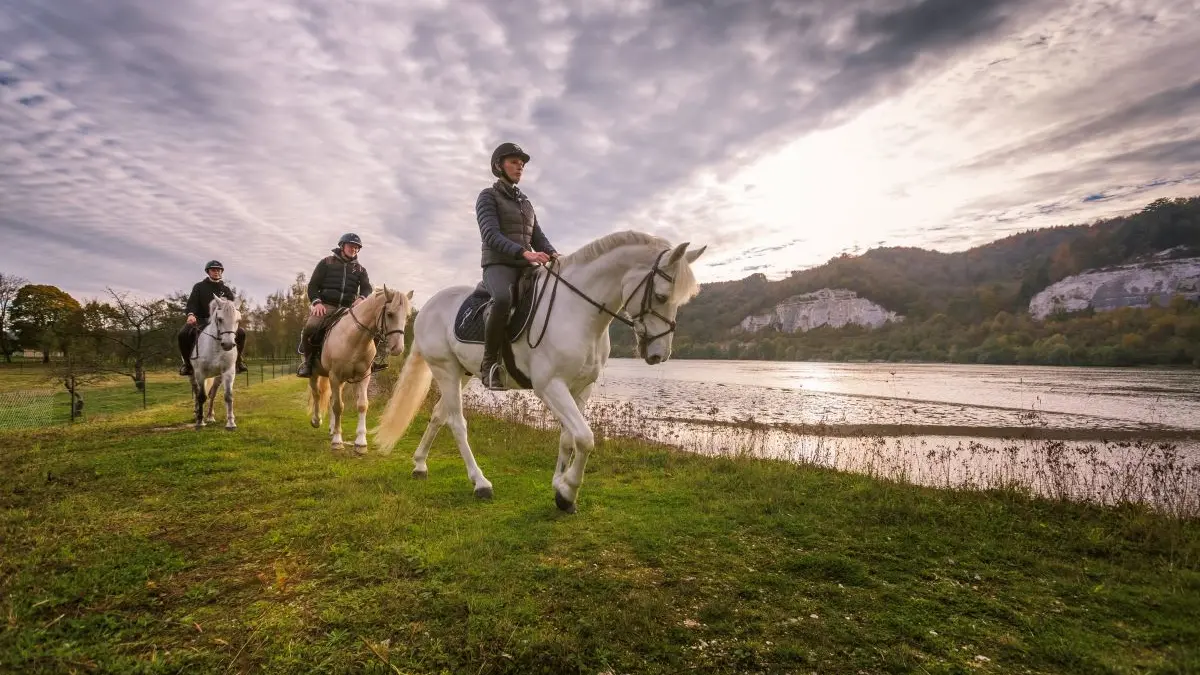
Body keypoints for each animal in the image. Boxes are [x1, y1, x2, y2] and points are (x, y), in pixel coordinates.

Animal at [187, 295, 241, 429]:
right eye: (220, 319)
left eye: (238, 320)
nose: (228, 345)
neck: (216, 347)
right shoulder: (200, 373)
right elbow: (201, 396)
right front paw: (200, 422)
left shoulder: (228, 372)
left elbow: (228, 396)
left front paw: (231, 423)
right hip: (192, 375)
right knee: (196, 391)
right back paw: (197, 413)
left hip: (218, 377)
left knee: (212, 394)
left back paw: (210, 416)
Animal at [307, 283, 415, 451]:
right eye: (389, 314)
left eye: (407, 317)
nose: (398, 348)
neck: (353, 338)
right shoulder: (335, 376)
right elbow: (338, 406)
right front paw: (337, 441)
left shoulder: (363, 376)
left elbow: (362, 405)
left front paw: (361, 442)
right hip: (315, 373)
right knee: (317, 394)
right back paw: (316, 420)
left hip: (341, 381)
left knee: (330, 398)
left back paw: (331, 428)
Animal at [376, 229, 700, 509]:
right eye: (661, 296)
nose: (659, 354)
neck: (578, 312)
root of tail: (428, 308)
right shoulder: (550, 386)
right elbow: (585, 438)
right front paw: (568, 494)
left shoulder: (582, 387)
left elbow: (569, 437)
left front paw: (559, 483)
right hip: (446, 371)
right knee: (456, 423)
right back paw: (480, 483)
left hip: (462, 374)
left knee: (438, 415)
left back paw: (420, 464)